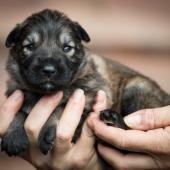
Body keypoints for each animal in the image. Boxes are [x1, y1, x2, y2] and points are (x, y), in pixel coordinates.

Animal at [2, 9, 170, 159]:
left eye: (67, 48)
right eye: (30, 47)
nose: (48, 70)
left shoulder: (90, 95)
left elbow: (61, 107)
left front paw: (48, 131)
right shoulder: (17, 90)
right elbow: (21, 109)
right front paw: (13, 135)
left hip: (136, 88)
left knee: (133, 133)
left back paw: (113, 118)